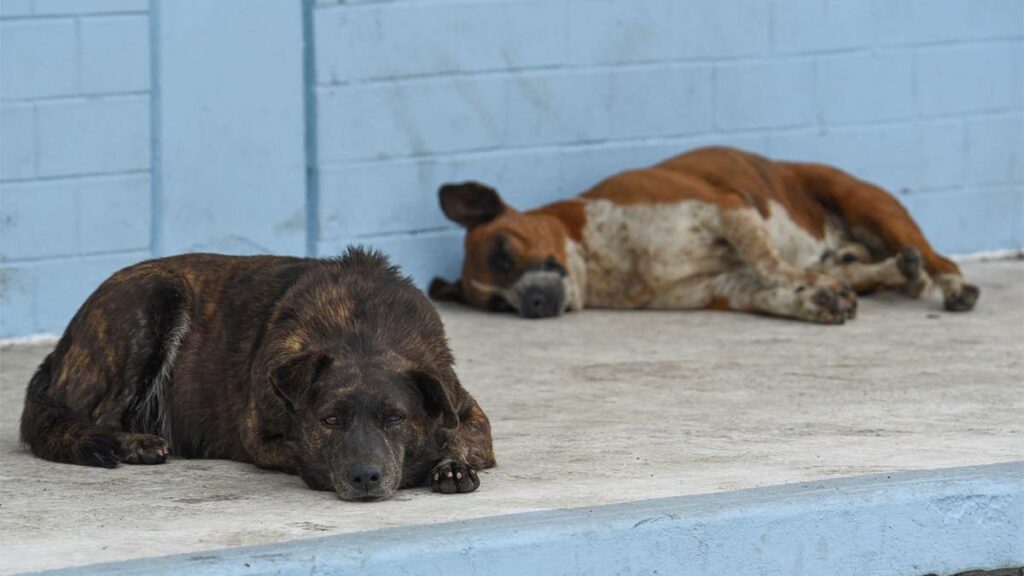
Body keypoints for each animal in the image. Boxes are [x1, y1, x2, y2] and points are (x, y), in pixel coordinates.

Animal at [18, 249, 491, 500]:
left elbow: (462, 439)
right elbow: (300, 453)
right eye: (330, 420)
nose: (365, 478)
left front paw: (450, 465)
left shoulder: (469, 414)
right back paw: (135, 444)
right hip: (150, 301)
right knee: (99, 417)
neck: (361, 330)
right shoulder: (261, 439)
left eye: (395, 417)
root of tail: (59, 351)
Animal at [428, 144, 978, 323]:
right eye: (498, 305)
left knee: (936, 258)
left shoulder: (726, 210)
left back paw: (948, 282)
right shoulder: (715, 288)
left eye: (503, 252)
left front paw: (810, 289)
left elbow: (769, 263)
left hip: (864, 201)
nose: (532, 305)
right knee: (872, 267)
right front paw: (813, 299)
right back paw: (892, 270)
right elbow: (769, 290)